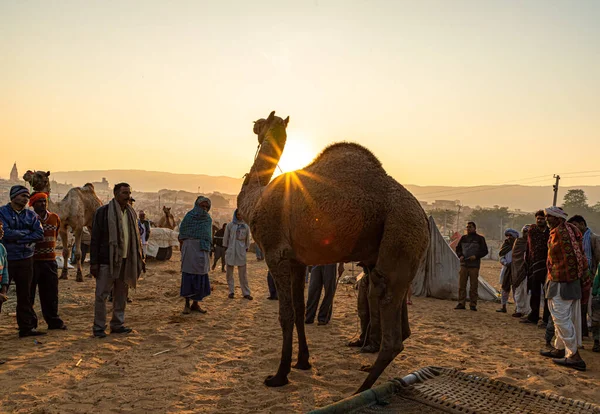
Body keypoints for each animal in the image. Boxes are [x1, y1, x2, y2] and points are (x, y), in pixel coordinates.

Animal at [237, 111, 428, 394]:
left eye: (260, 123)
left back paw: (359, 390)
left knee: (391, 329)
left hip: (401, 235)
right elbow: (299, 308)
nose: (253, 126)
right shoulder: (297, 261)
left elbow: (285, 315)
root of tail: (424, 219)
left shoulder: (275, 253)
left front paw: (279, 375)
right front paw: (303, 362)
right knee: (401, 325)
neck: (256, 199)